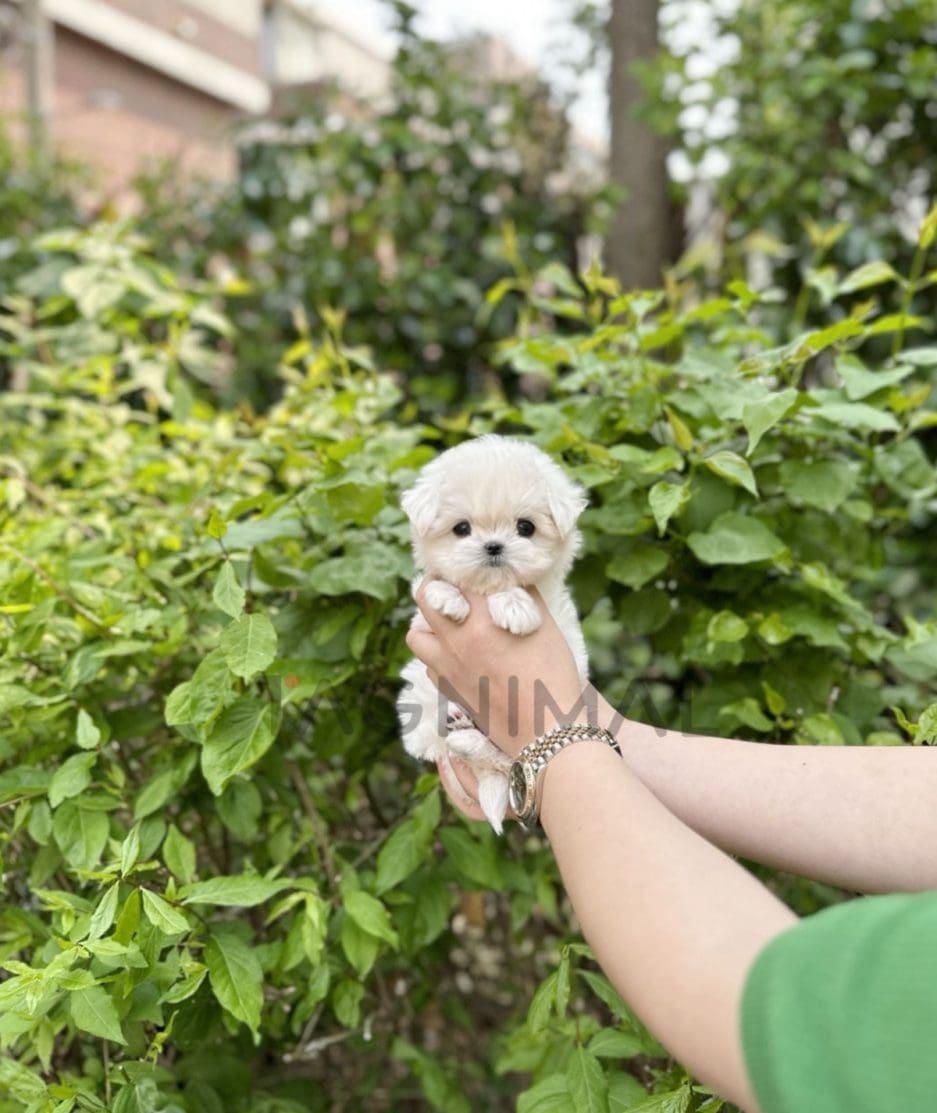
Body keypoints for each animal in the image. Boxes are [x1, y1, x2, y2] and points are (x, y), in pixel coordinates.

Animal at [398, 434, 587, 836]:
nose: (494, 547)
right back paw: (461, 726)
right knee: (442, 743)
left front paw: (514, 606)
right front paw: (449, 597)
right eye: (462, 529)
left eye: (526, 527)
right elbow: (438, 587)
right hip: (421, 703)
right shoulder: (421, 626)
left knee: (501, 759)